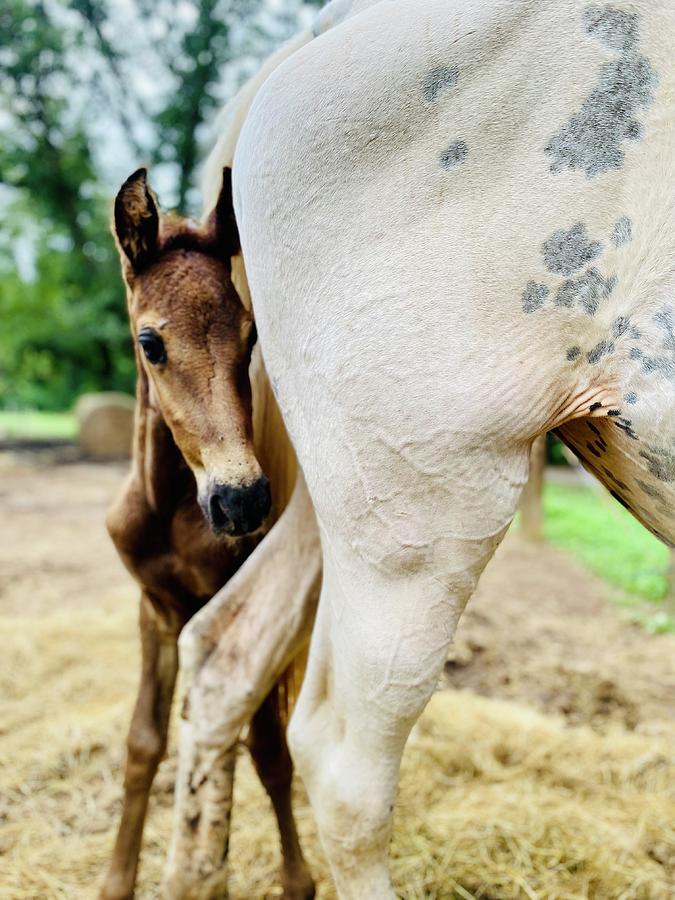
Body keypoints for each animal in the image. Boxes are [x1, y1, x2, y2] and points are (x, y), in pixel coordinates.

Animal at [99, 169, 314, 900]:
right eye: (150, 343)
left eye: (249, 338)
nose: (240, 502)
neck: (171, 508)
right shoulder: (155, 609)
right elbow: (143, 744)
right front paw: (118, 880)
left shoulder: (236, 605)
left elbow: (268, 752)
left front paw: (297, 880)